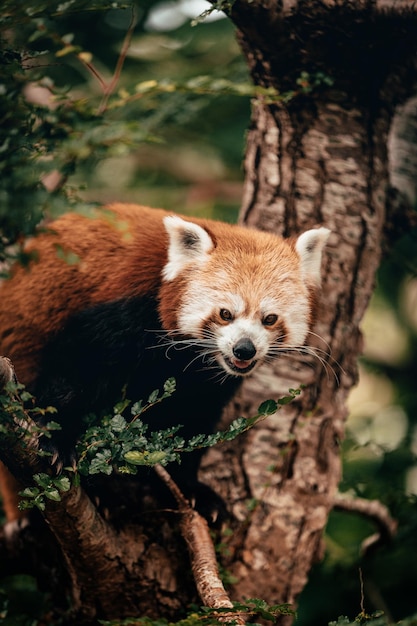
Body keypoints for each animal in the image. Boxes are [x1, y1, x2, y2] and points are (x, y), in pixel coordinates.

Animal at [0, 202, 328, 520]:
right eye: (225, 314)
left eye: (269, 318)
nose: (244, 350)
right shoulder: (122, 309)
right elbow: (75, 372)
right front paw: (57, 440)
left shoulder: (201, 380)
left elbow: (191, 418)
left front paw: (190, 488)